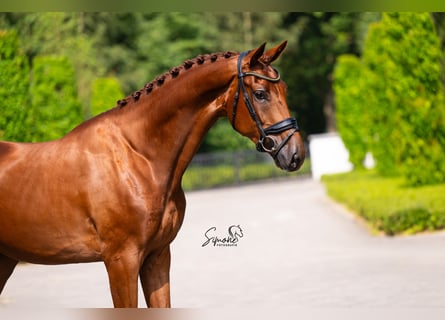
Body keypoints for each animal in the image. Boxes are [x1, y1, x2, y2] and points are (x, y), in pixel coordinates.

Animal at [0, 41, 304, 306]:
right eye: (261, 93)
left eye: (285, 89)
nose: (295, 154)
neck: (138, 156)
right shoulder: (121, 260)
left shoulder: (157, 255)